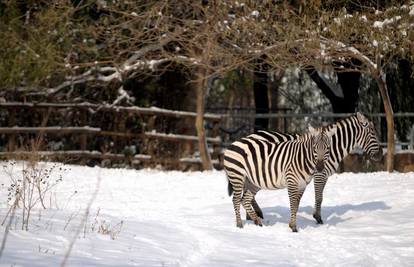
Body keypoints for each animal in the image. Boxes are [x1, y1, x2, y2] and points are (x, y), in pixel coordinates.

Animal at [243, 112, 382, 226]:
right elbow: (319, 196)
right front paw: (318, 218)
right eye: (372, 132)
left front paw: (316, 216)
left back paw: (251, 216)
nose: (380, 154)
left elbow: (320, 196)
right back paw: (254, 215)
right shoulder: (319, 174)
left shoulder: (324, 175)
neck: (331, 148)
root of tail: (250, 135)